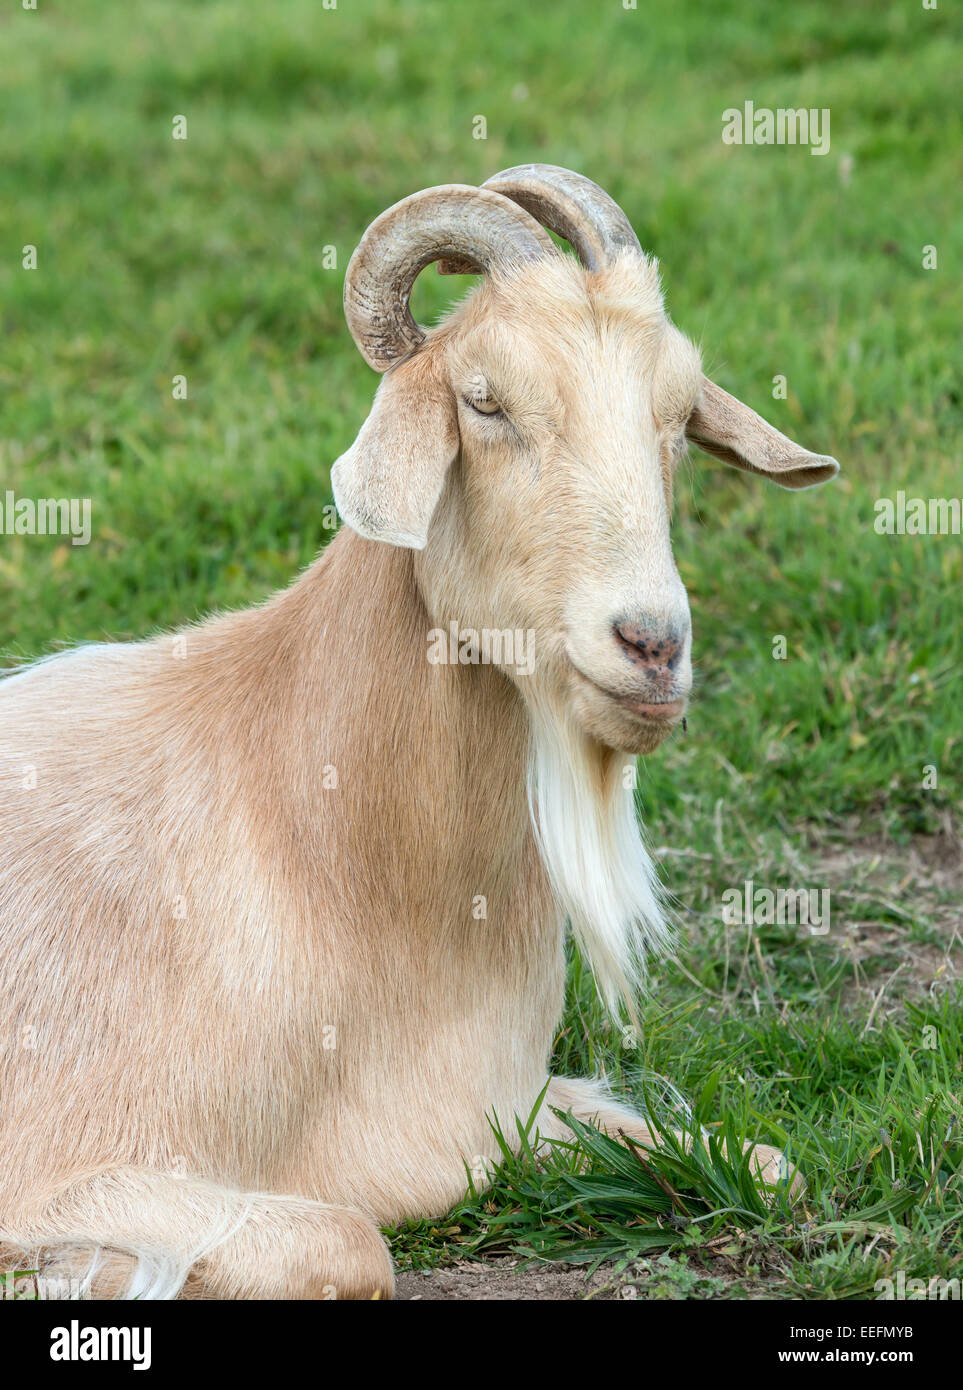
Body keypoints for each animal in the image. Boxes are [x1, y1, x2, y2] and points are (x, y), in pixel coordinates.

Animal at [0, 165, 833, 1301]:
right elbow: (351, 1244)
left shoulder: (500, 1110)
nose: (652, 644)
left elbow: (770, 1167)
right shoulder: (65, 1156)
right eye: (484, 400)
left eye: (677, 411)